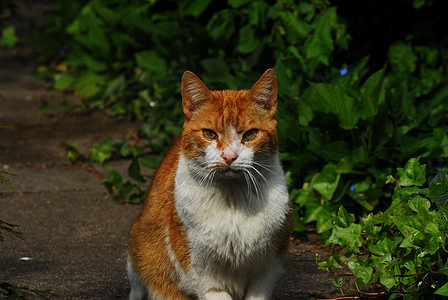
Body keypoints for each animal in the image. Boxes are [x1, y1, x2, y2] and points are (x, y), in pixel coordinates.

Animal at [127, 68, 294, 300]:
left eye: (250, 134)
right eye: (209, 133)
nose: (230, 156)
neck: (233, 200)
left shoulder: (269, 267)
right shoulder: (202, 275)